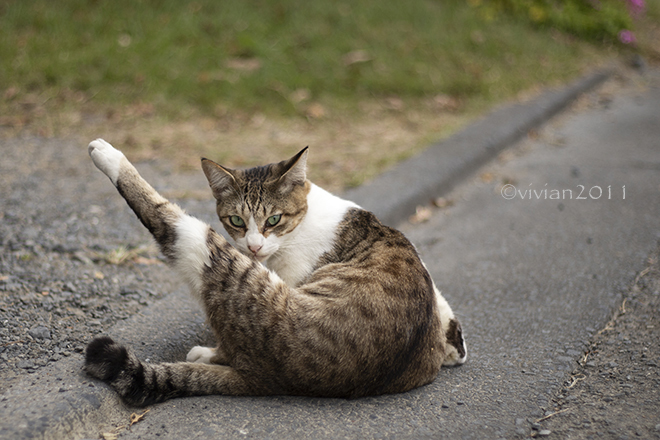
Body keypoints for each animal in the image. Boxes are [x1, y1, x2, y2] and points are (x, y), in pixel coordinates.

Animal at [84, 139, 464, 408]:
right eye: (236, 220)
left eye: (274, 219)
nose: (253, 247)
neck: (303, 219)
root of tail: (274, 380)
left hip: (218, 259)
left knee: (164, 217)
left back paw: (108, 155)